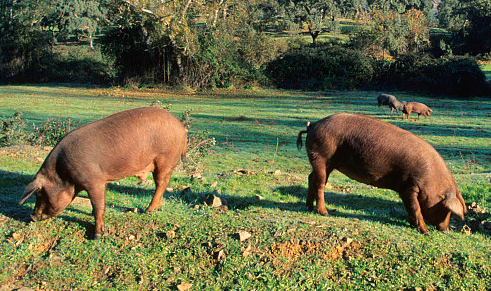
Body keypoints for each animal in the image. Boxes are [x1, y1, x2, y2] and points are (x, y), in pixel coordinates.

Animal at [19, 107, 188, 240]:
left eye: (39, 193)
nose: (32, 216)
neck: (64, 175)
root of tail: (182, 127)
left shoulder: (95, 180)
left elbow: (98, 206)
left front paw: (96, 236)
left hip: (165, 158)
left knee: (161, 183)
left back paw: (147, 210)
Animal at [298, 113, 468, 235]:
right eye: (446, 209)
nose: (446, 231)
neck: (431, 181)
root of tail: (313, 125)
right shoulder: (408, 187)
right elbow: (415, 208)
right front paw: (425, 232)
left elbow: (411, 209)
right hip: (321, 156)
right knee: (319, 183)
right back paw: (324, 213)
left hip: (327, 163)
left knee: (311, 178)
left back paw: (309, 207)